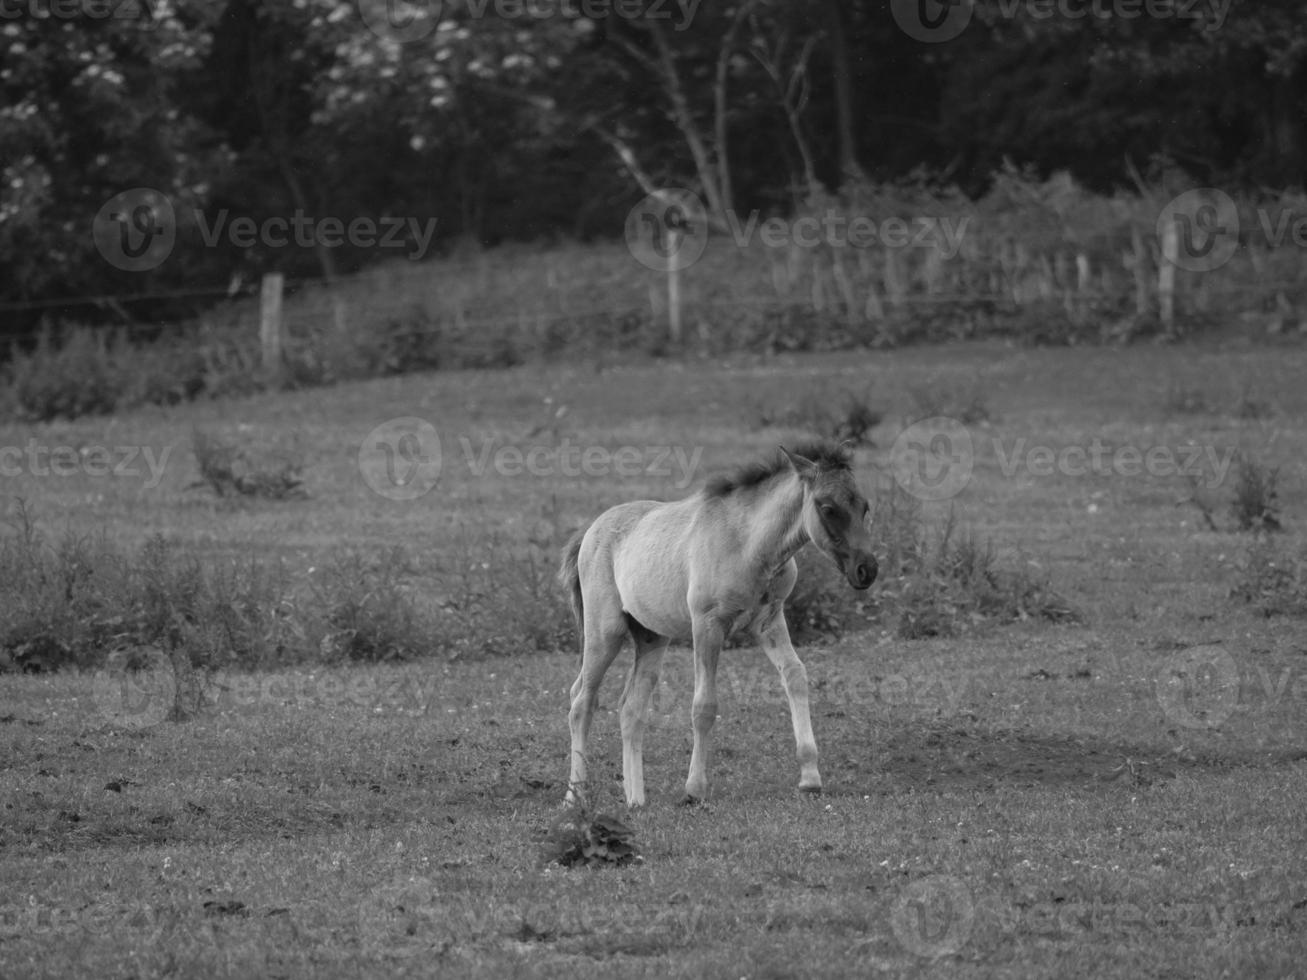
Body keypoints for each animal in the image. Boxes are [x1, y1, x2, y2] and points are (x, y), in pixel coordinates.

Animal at [556, 444, 873, 804]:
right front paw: (694, 789)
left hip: (652, 637)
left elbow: (795, 676)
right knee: (581, 701)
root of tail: (589, 531)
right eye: (828, 507)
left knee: (630, 709)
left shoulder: (769, 620)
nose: (867, 570)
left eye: (864, 506)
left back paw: (636, 800)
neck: (747, 544)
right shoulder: (707, 625)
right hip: (604, 633)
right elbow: (704, 705)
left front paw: (810, 777)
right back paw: (574, 797)